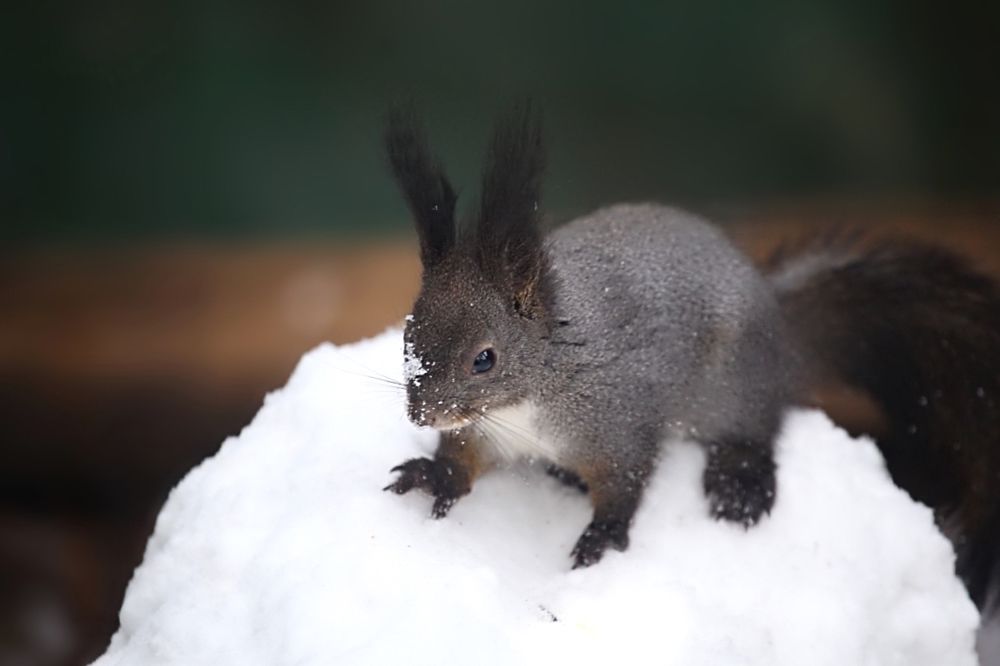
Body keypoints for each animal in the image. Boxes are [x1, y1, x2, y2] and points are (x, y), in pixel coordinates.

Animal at [382, 103, 1000, 611]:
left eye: (484, 359)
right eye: (408, 335)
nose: (421, 414)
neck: (524, 402)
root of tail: (782, 338)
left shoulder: (618, 417)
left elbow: (626, 483)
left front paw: (602, 537)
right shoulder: (481, 432)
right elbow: (462, 460)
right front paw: (433, 474)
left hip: (732, 383)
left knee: (757, 428)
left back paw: (740, 481)